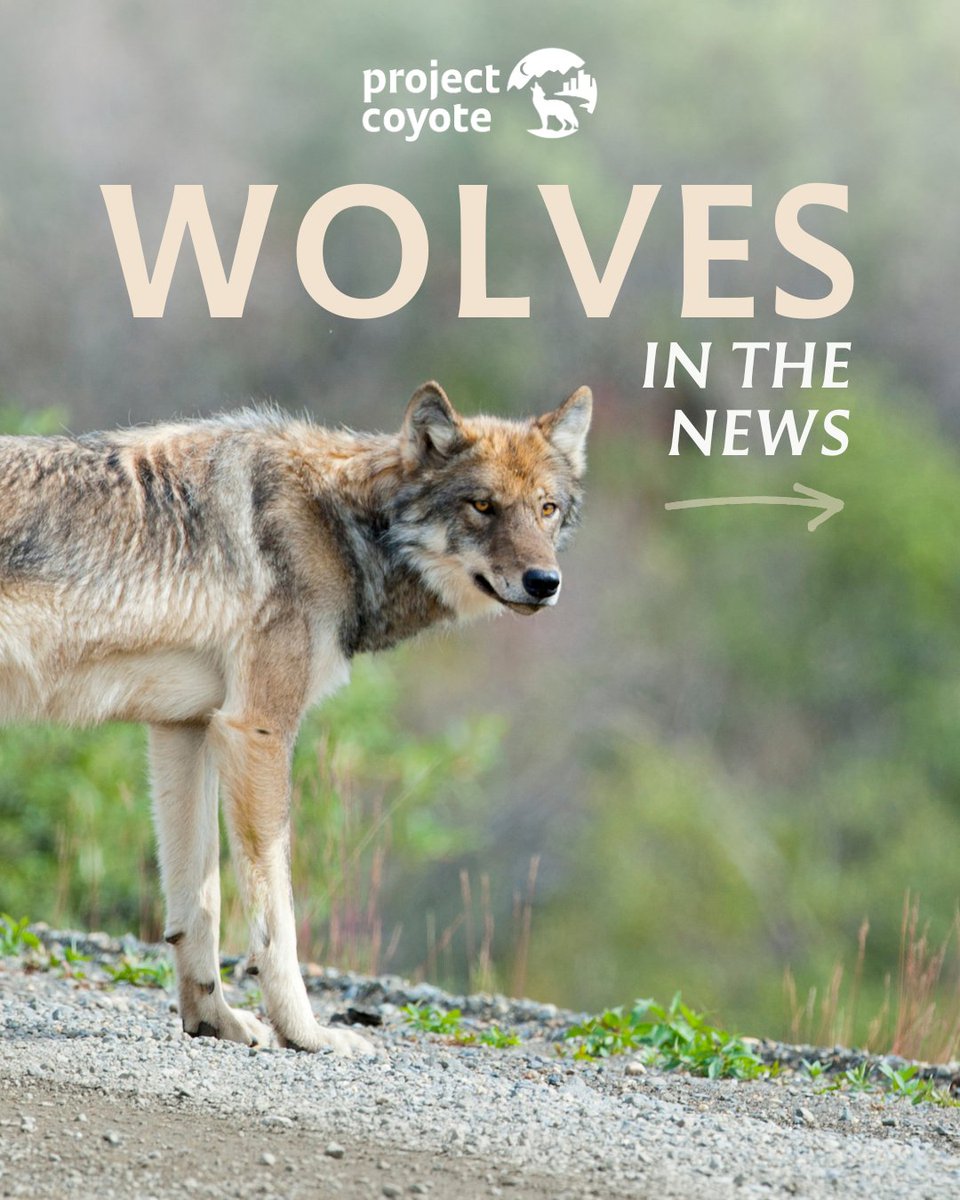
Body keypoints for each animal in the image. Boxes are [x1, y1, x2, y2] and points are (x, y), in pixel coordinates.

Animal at [0, 381, 591, 1054]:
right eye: (482, 506)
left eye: (546, 508)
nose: (544, 581)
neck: (339, 525)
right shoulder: (257, 730)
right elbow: (276, 919)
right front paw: (308, 1033)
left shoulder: (185, 728)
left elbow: (198, 907)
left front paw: (216, 1023)